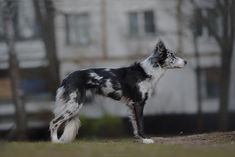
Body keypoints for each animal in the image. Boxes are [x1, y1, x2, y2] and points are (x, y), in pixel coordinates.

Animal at [49, 40, 187, 144]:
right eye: (172, 56)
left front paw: (140, 138)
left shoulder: (131, 105)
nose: (186, 61)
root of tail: (67, 77)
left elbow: (135, 125)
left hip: (74, 105)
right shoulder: (139, 102)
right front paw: (146, 139)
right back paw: (55, 142)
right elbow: (141, 123)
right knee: (54, 122)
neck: (146, 72)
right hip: (74, 105)